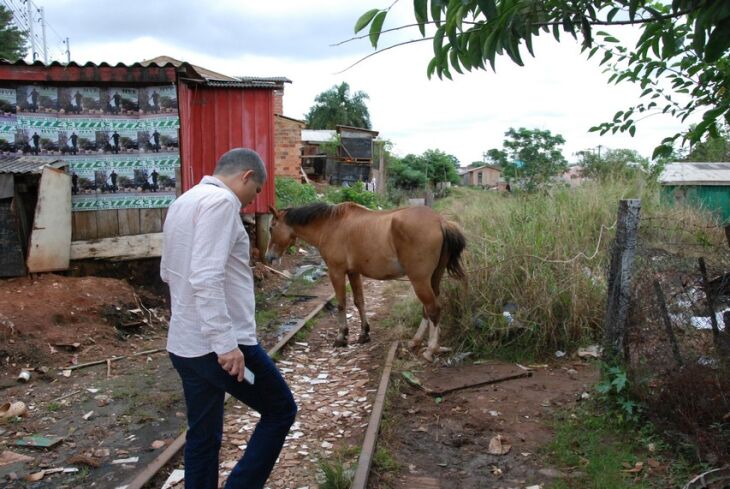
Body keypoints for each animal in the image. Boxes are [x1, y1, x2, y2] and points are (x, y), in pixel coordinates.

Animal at [264, 200, 464, 360]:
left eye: (271, 227)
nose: (268, 257)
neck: (331, 225)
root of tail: (440, 221)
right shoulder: (353, 273)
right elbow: (359, 301)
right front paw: (364, 334)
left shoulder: (336, 272)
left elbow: (341, 304)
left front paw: (342, 337)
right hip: (433, 279)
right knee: (427, 310)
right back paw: (415, 342)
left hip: (419, 281)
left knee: (433, 309)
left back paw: (431, 349)